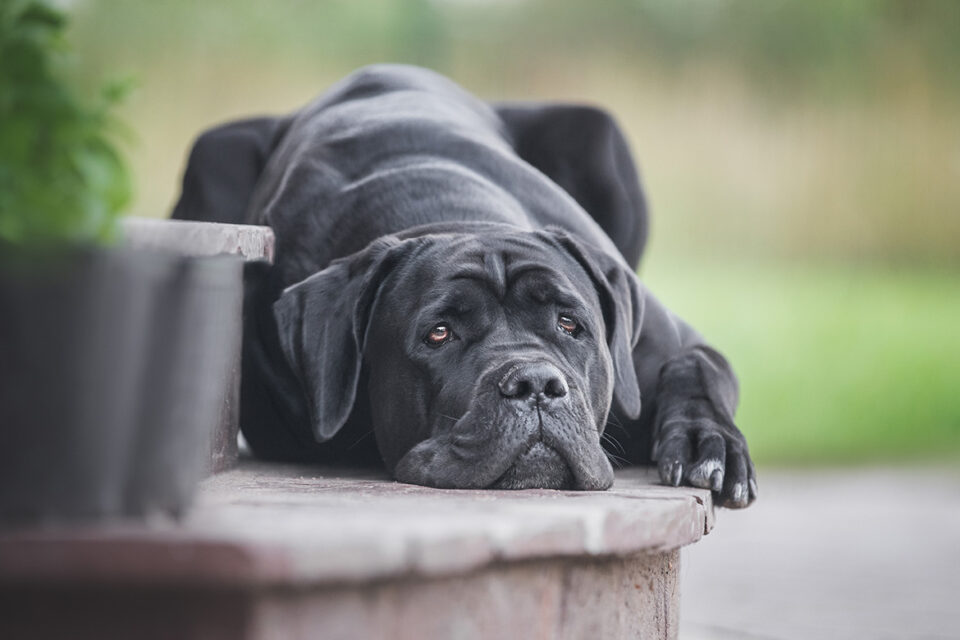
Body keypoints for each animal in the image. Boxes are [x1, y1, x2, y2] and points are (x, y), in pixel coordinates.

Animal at [172, 62, 756, 508]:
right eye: (438, 334)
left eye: (570, 324)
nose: (535, 384)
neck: (459, 215)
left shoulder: (666, 344)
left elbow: (697, 367)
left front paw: (709, 443)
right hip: (214, 149)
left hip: (600, 133)